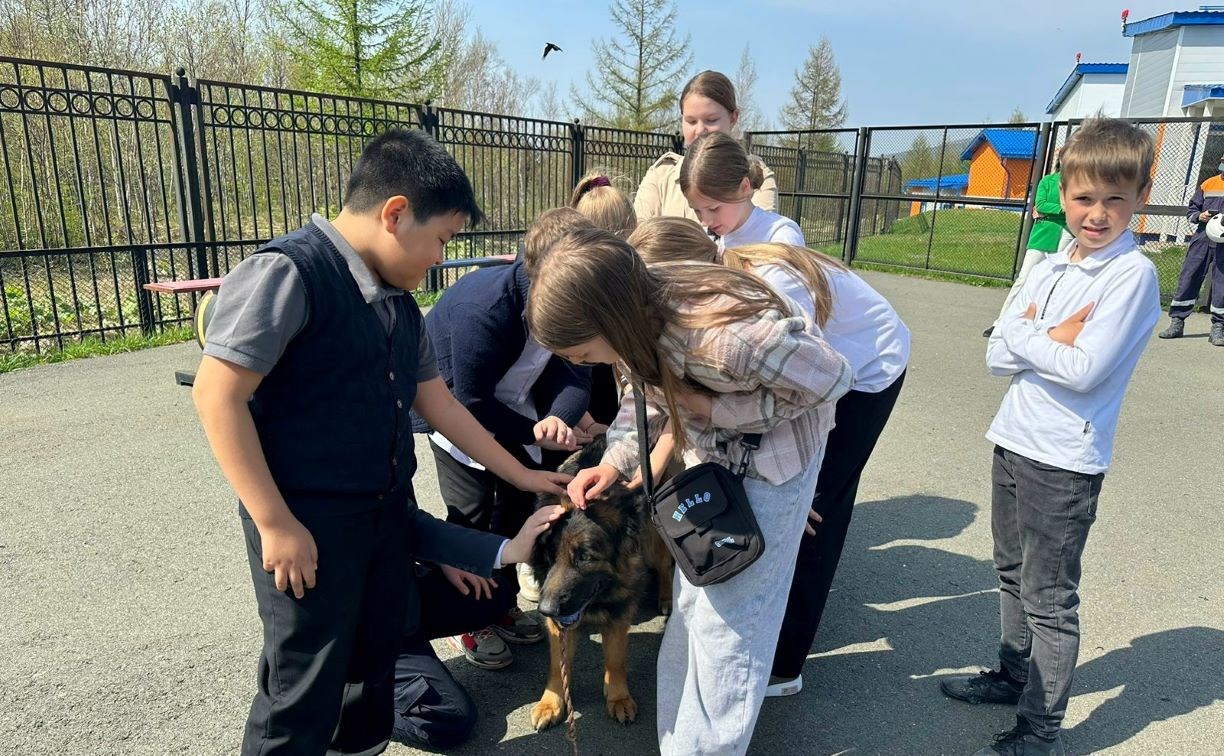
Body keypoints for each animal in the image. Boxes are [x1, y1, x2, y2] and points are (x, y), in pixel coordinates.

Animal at [531, 435, 675, 729]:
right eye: (550, 554)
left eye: (585, 557)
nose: (545, 610)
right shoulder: (559, 626)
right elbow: (557, 665)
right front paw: (551, 702)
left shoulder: (619, 611)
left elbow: (615, 659)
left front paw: (618, 697)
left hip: (654, 540)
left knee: (664, 564)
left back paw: (666, 596)